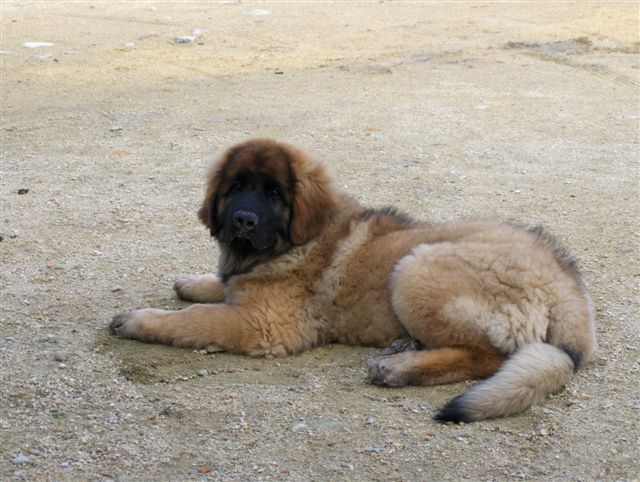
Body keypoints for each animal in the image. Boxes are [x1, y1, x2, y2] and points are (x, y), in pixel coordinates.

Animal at [110, 137, 596, 420]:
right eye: (236, 187)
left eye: (274, 194)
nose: (244, 221)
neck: (293, 242)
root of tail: (567, 284)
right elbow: (221, 284)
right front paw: (196, 281)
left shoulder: (263, 326)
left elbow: (193, 319)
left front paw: (139, 320)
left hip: (416, 268)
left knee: (490, 356)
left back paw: (399, 367)